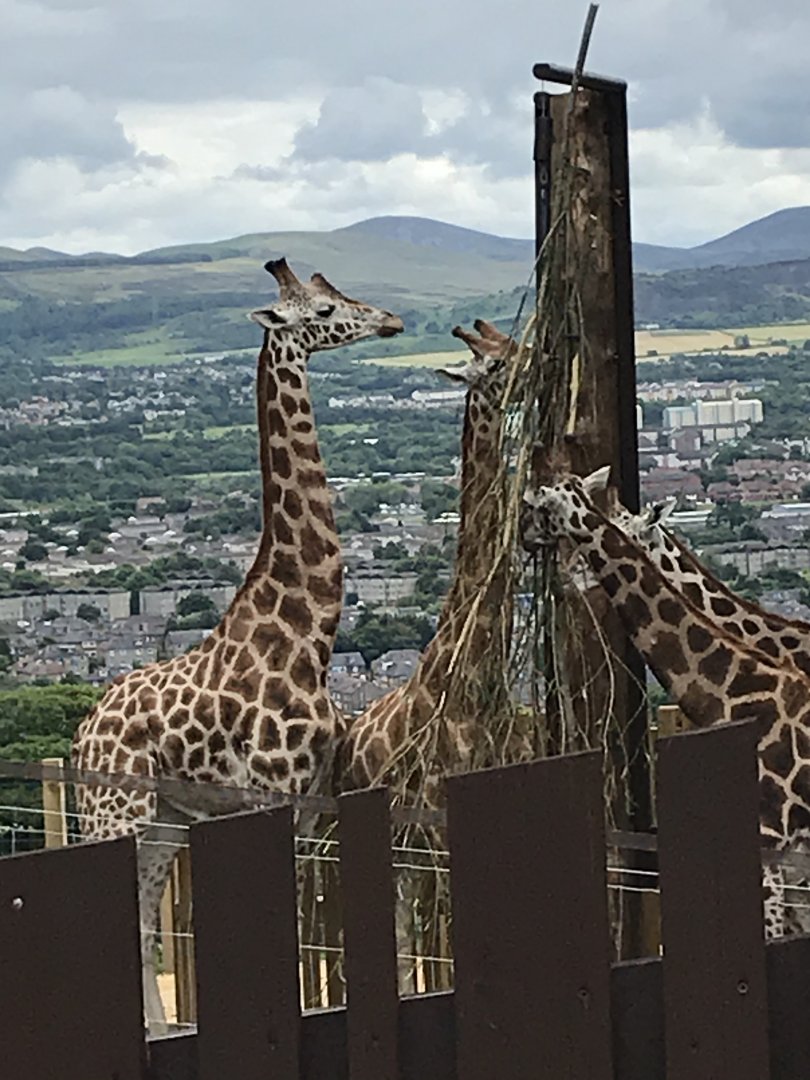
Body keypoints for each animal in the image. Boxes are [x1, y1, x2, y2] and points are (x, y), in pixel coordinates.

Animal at [71, 258, 403, 1031]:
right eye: (321, 310)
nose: (389, 321)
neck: (309, 635)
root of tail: (83, 731)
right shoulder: (267, 795)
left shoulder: (309, 804)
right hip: (114, 813)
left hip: (161, 819)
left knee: (140, 919)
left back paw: (162, 1030)